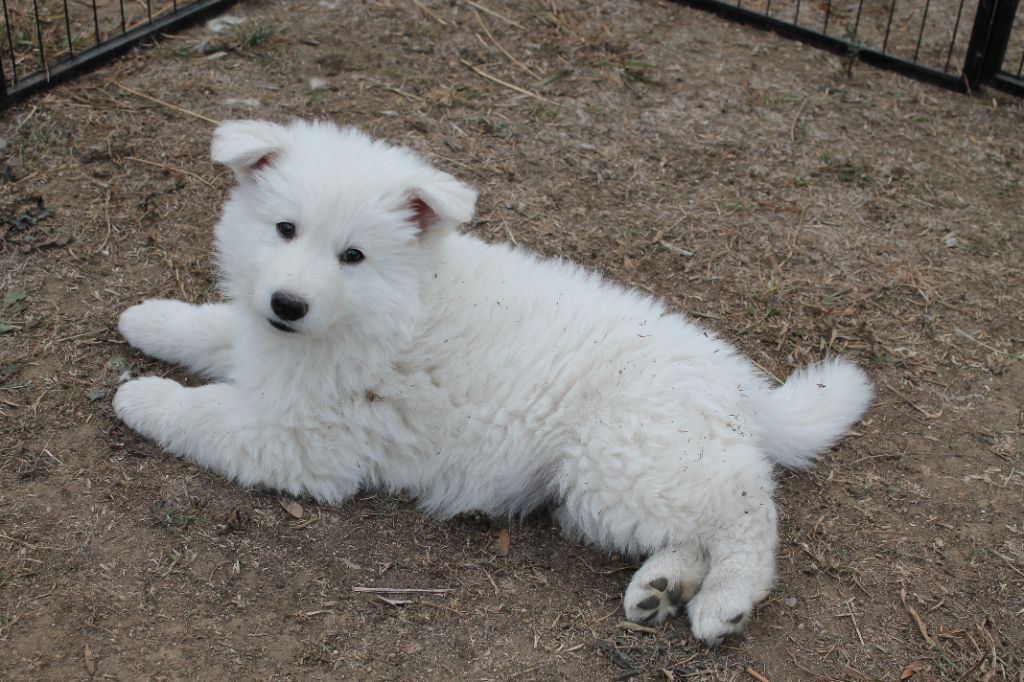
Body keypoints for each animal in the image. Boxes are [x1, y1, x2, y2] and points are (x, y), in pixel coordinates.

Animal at [117, 119, 872, 647]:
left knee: (746, 510)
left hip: (622, 456)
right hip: (626, 479)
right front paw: (149, 320)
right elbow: (217, 332)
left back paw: (725, 603)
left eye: (352, 255)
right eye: (284, 229)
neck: (390, 305)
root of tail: (740, 387)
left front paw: (141, 396)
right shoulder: (268, 353)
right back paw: (661, 587)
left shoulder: (304, 439)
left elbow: (208, 413)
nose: (288, 304)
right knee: (699, 523)